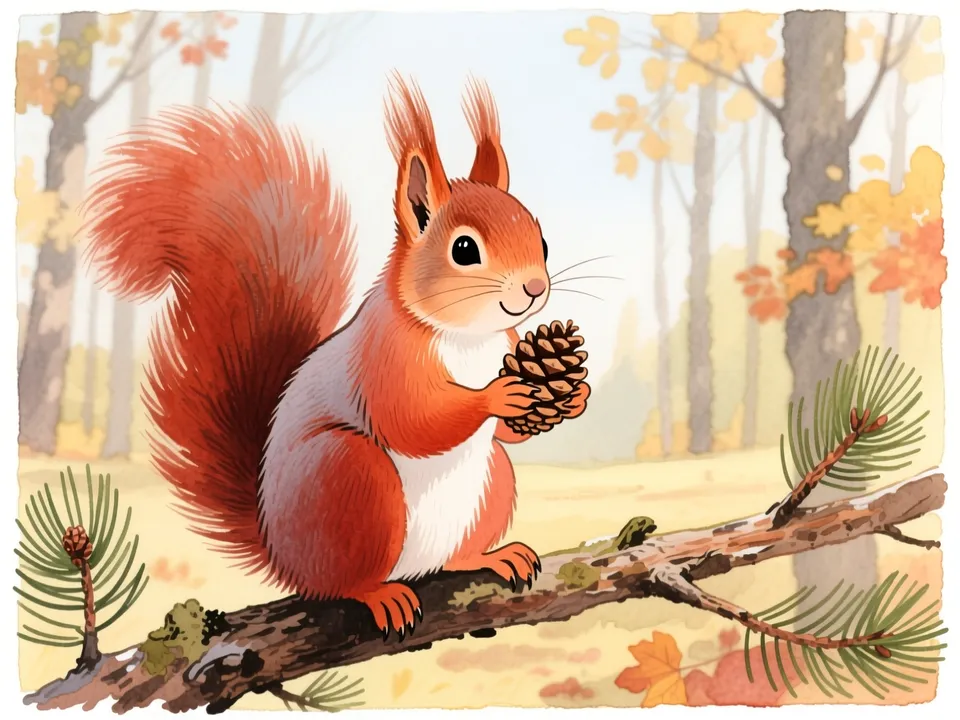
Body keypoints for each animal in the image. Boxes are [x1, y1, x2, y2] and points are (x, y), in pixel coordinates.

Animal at [83, 75, 590, 640]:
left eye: (541, 239)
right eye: (464, 250)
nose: (535, 288)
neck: (468, 337)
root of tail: (281, 555)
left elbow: (505, 435)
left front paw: (574, 398)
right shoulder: (385, 356)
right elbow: (410, 421)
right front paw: (496, 395)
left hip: (490, 482)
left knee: (465, 530)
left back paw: (490, 556)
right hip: (351, 479)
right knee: (344, 582)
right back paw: (379, 594)